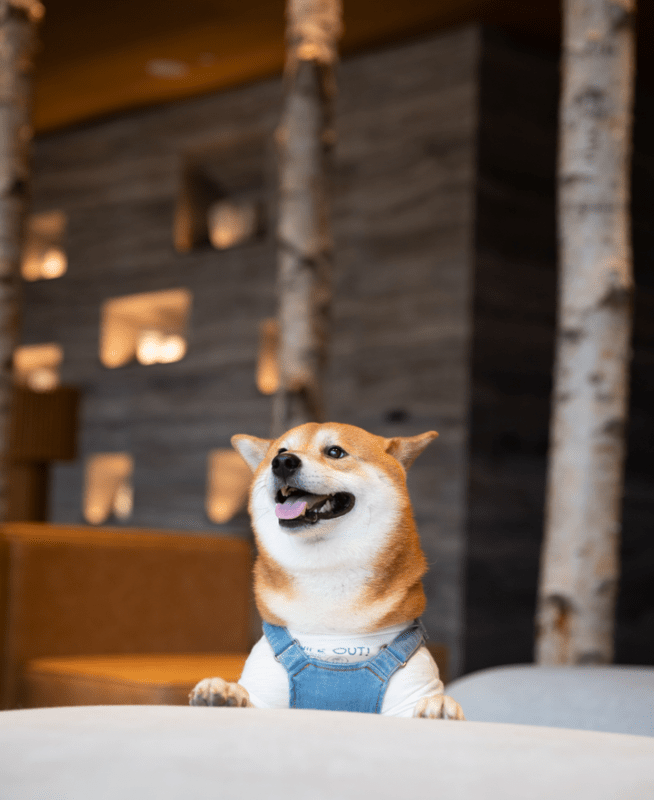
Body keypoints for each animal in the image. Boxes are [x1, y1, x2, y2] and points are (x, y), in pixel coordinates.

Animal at [190, 424, 466, 720]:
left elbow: (423, 706)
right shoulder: (264, 697)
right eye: (280, 451)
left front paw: (439, 705)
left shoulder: (410, 692)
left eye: (335, 452)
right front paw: (223, 692)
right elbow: (247, 699)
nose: (282, 462)